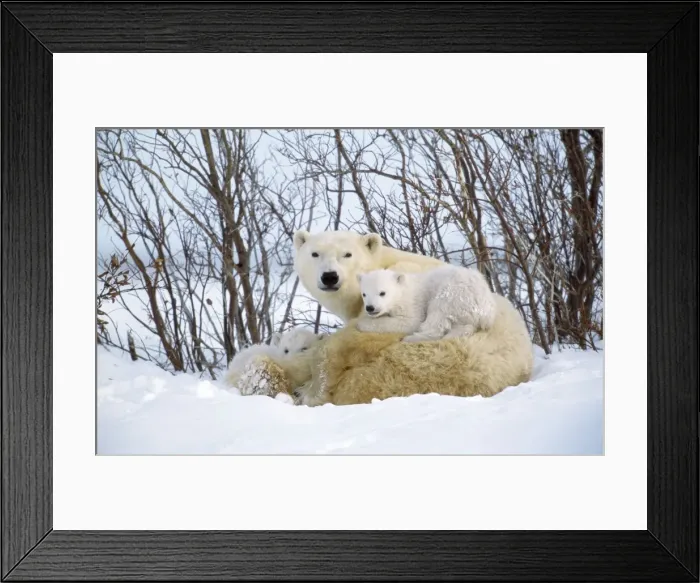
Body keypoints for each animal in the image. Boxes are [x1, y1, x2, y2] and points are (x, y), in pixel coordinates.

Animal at [356, 265, 497, 342]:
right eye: (364, 294)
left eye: (382, 293)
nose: (370, 308)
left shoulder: (412, 303)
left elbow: (409, 322)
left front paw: (361, 323)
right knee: (464, 326)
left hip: (452, 294)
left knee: (437, 320)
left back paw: (410, 338)